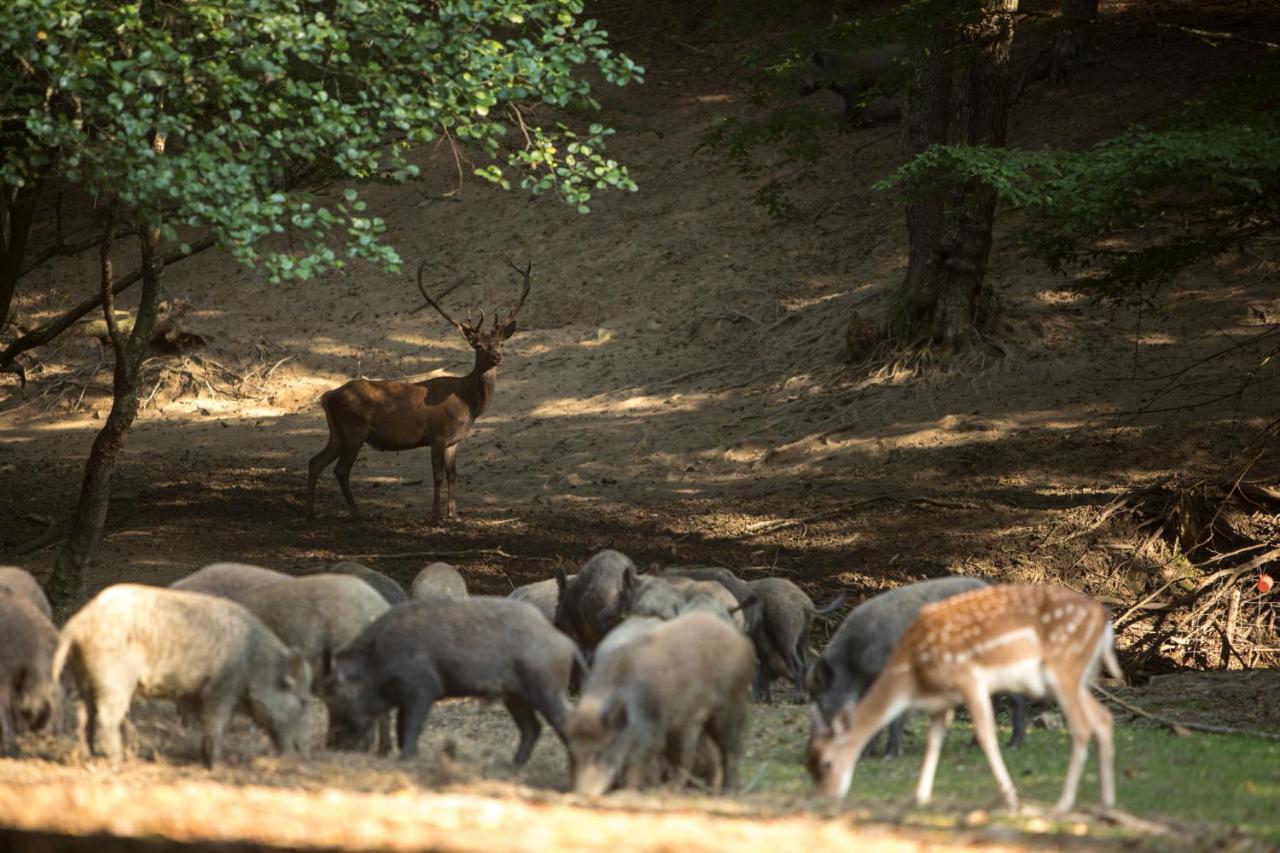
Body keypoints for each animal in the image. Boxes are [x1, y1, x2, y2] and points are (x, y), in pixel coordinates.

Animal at [304, 257, 529, 525]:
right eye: (478, 346)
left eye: (501, 343)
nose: (497, 357)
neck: (469, 402)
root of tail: (327, 397)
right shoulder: (437, 434)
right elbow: (438, 476)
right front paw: (436, 516)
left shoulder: (454, 440)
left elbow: (453, 476)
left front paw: (455, 516)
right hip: (354, 429)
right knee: (340, 469)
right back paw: (356, 513)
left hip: (337, 433)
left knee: (314, 462)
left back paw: (310, 511)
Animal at [808, 584, 1121, 809]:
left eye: (827, 763)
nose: (825, 797)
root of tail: (1104, 622)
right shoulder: (941, 699)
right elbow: (933, 739)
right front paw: (918, 795)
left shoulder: (967, 679)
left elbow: (982, 733)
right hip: (1074, 679)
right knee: (1103, 718)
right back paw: (1105, 801)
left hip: (1057, 673)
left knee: (1072, 723)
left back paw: (1057, 795)